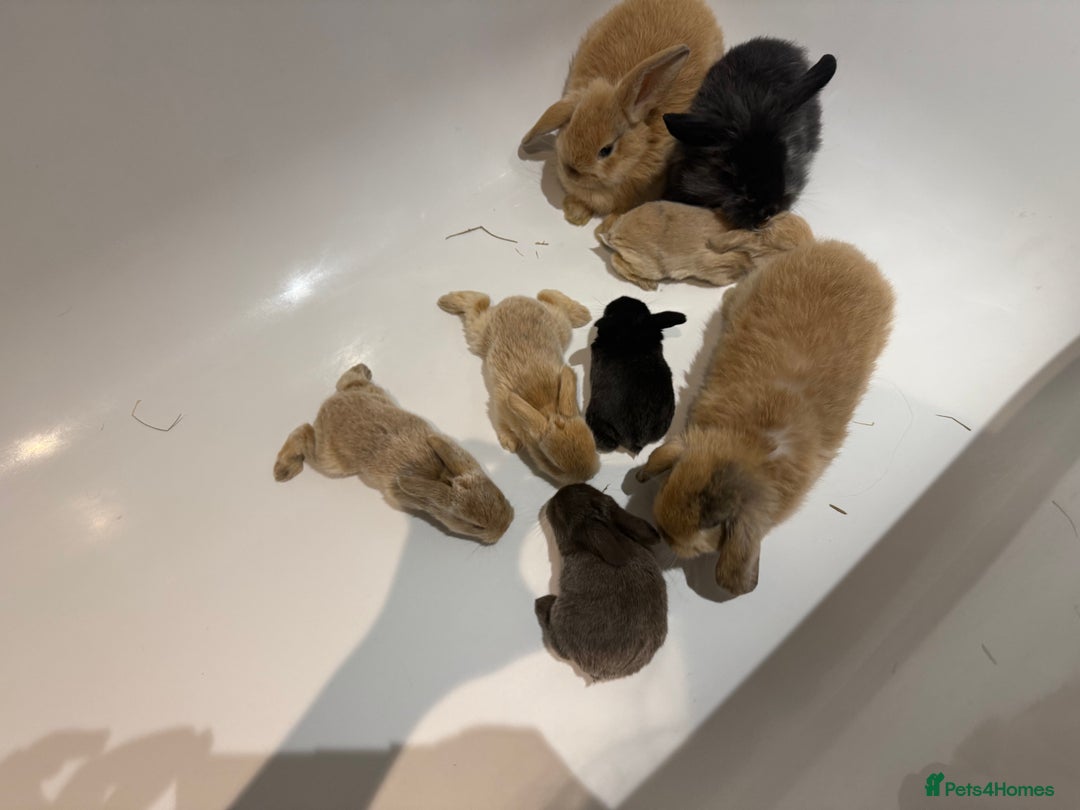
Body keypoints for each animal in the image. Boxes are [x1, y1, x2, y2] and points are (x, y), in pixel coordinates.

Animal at [273, 363, 514, 544]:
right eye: (476, 526)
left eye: (499, 496)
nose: (507, 526)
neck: (440, 476)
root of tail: (327, 404)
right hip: (331, 461)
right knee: (304, 431)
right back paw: (283, 470)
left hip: (372, 392)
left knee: (348, 382)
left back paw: (362, 368)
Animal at [438, 290, 600, 484]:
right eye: (552, 464)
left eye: (593, 442)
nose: (588, 477)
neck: (546, 406)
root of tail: (517, 299)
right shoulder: (500, 407)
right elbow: (501, 425)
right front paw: (511, 443)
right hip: (479, 334)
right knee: (479, 302)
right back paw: (446, 301)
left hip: (561, 328)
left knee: (547, 296)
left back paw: (582, 314)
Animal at [596, 202, 813, 290]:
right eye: (785, 249)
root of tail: (614, 234)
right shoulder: (716, 270)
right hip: (649, 266)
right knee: (616, 260)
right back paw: (649, 285)